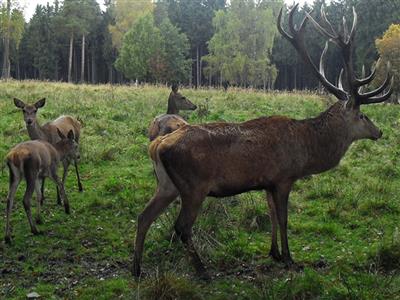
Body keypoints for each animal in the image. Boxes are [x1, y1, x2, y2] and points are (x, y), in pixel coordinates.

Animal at [133, 3, 392, 278]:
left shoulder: (267, 183)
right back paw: (202, 271)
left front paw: (274, 253)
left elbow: (271, 215)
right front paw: (289, 258)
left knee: (144, 216)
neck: (307, 150)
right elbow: (284, 218)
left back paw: (137, 268)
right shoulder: (284, 177)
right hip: (194, 186)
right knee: (181, 227)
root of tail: (156, 145)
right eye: (363, 115)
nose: (379, 132)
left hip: (166, 184)